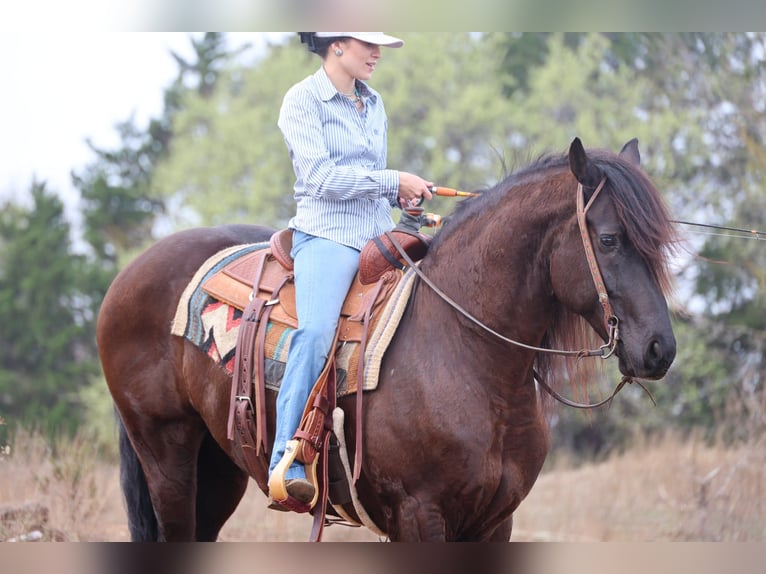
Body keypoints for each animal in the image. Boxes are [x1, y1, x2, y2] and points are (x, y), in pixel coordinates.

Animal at [97, 137, 677, 541]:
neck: (463, 350)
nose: (659, 349)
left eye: (658, 244)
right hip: (166, 456)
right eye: (609, 239)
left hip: (217, 467)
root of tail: (131, 272)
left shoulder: (496, 522)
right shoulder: (420, 515)